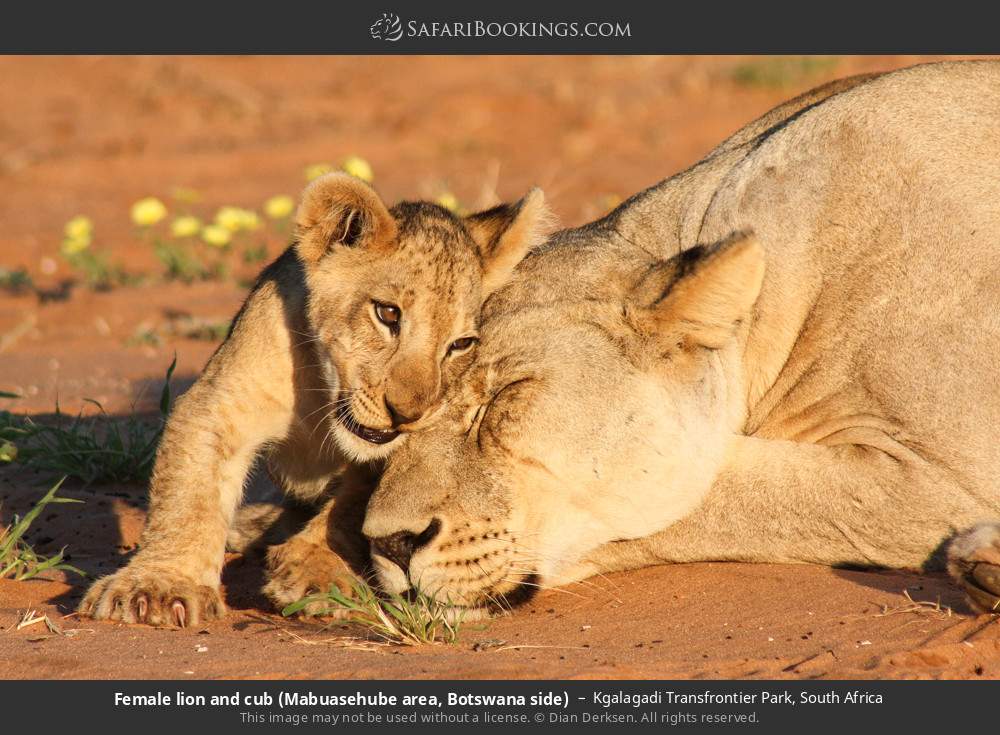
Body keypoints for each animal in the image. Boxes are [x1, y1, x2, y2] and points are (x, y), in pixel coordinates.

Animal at [79, 172, 553, 626]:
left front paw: (316, 572)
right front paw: (158, 586)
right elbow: (188, 495)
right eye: (387, 313)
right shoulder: (221, 400)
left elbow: (349, 506)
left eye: (461, 344)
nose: (408, 414)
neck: (321, 402)